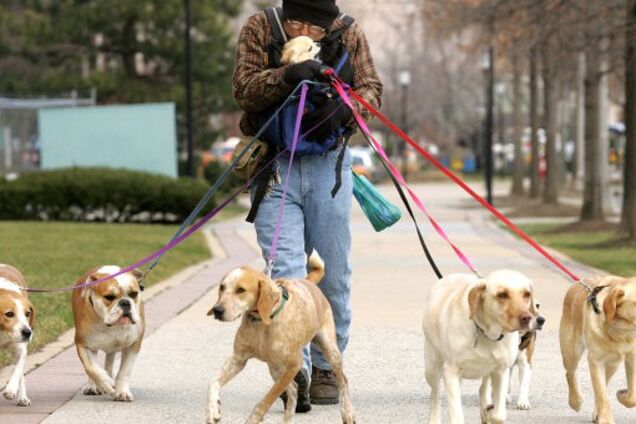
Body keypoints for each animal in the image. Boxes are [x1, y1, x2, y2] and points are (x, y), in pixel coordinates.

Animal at [71, 266, 145, 402]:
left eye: (134, 294)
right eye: (109, 297)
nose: (125, 302)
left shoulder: (133, 345)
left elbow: (124, 371)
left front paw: (122, 392)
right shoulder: (83, 344)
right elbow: (91, 367)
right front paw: (106, 383)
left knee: (110, 361)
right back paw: (94, 386)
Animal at [205, 252, 356, 424]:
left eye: (240, 290)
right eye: (222, 287)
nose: (217, 310)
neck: (261, 322)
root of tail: (307, 281)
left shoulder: (294, 365)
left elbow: (266, 400)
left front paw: (253, 419)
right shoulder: (238, 359)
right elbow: (213, 383)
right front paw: (212, 410)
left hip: (330, 351)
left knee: (342, 380)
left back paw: (348, 412)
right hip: (276, 368)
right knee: (293, 390)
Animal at [424, 270, 540, 422]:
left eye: (527, 294)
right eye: (502, 294)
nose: (527, 318)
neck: (488, 334)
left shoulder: (501, 371)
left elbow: (499, 414)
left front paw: (489, 414)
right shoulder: (451, 371)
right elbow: (457, 415)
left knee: (483, 389)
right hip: (431, 368)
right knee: (435, 396)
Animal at [560, 274, 636, 424]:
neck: (622, 332)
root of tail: (578, 282)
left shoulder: (632, 358)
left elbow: (632, 397)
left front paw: (622, 395)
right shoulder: (596, 360)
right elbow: (601, 393)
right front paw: (606, 419)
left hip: (612, 364)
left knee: (603, 383)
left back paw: (596, 412)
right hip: (571, 352)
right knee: (570, 373)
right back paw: (575, 401)